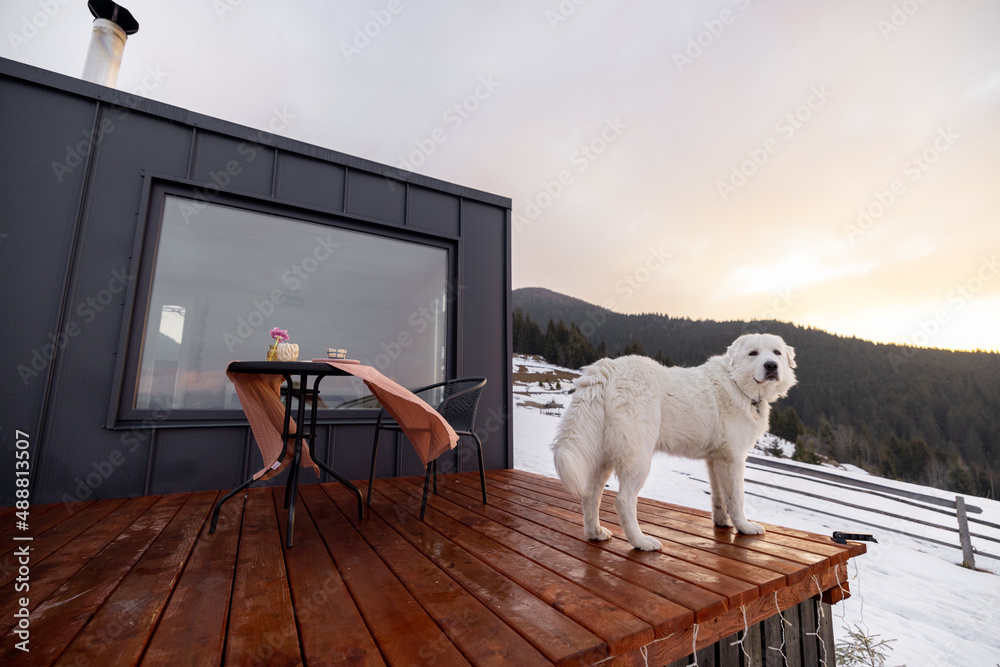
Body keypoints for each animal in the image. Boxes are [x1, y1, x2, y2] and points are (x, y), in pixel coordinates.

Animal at [548, 336, 796, 552]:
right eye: (753, 353)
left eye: (777, 353)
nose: (771, 366)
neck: (737, 384)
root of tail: (607, 369)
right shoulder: (733, 457)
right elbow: (737, 497)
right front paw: (744, 527)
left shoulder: (716, 459)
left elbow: (719, 496)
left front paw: (723, 523)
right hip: (638, 458)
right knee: (624, 501)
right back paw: (641, 542)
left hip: (604, 457)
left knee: (590, 494)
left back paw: (595, 533)